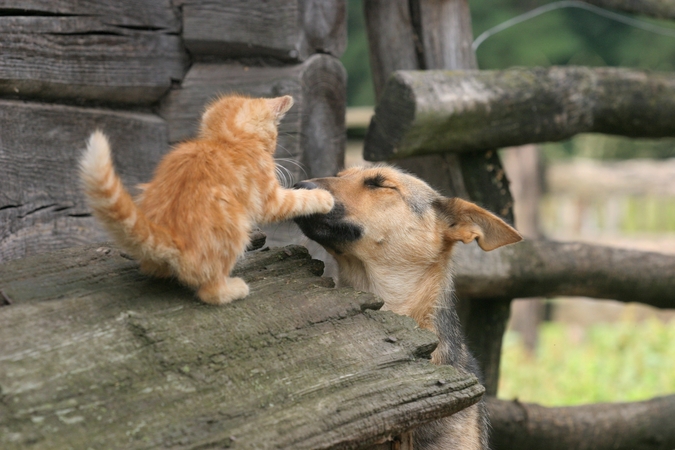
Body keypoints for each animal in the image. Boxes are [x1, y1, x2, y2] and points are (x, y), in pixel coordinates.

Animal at [80, 95, 334, 306]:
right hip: (234, 223)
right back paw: (232, 289)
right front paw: (324, 197)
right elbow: (295, 201)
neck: (226, 140)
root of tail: (172, 237)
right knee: (209, 291)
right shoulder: (269, 198)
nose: (272, 148)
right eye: (274, 137)